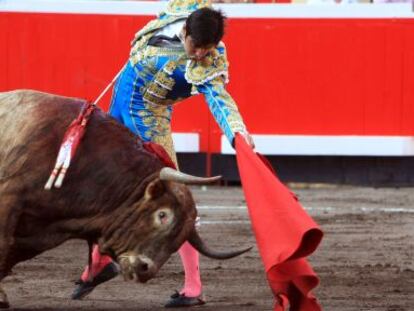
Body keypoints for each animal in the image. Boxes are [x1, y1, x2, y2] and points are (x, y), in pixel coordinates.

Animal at [0, 90, 249, 310]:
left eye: (179, 238)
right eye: (162, 214)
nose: (145, 269)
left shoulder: (44, 232)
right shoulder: (10, 199)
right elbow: (3, 246)